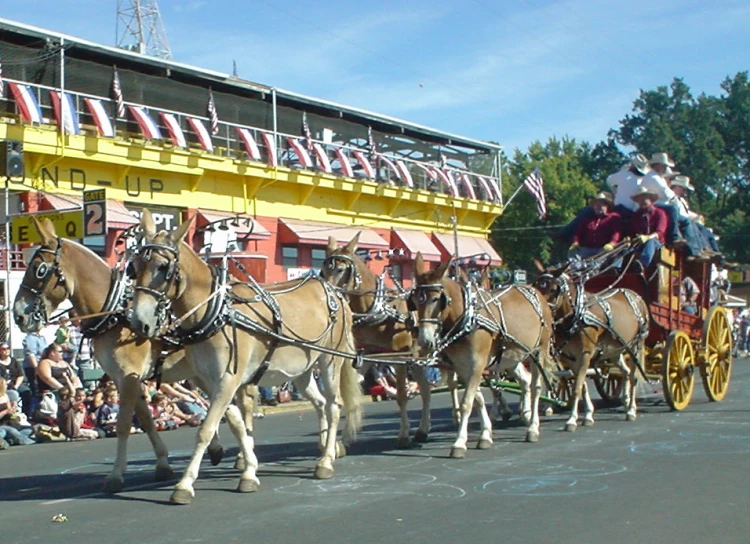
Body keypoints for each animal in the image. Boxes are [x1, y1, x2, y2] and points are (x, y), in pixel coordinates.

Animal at [12, 218, 253, 492]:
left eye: (39, 269)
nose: (18, 315)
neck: (115, 313)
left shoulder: (129, 376)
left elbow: (124, 423)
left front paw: (117, 474)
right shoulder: (124, 378)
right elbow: (146, 419)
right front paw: (162, 463)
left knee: (240, 407)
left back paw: (242, 457)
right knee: (227, 408)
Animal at [129, 209, 364, 506]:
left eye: (162, 267)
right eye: (134, 265)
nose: (139, 321)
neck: (215, 311)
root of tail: (335, 293)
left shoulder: (228, 379)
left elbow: (206, 430)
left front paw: (184, 484)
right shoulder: (210, 382)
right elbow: (238, 425)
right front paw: (249, 470)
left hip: (330, 361)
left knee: (334, 406)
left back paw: (325, 461)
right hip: (302, 370)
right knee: (321, 403)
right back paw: (326, 448)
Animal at [324, 233, 440, 446]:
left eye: (340, 269)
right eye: (322, 268)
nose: (329, 295)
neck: (376, 310)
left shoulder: (399, 357)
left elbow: (401, 395)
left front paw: (403, 434)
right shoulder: (367, 355)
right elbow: (353, 389)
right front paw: (344, 438)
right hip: (417, 358)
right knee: (427, 390)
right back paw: (423, 430)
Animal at [408, 254, 556, 454]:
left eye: (436, 299)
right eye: (415, 301)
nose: (425, 341)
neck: (465, 318)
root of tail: (536, 292)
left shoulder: (477, 364)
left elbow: (466, 403)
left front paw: (459, 443)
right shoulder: (462, 366)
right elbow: (477, 400)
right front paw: (485, 434)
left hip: (539, 350)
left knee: (536, 387)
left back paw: (533, 427)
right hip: (512, 357)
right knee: (524, 380)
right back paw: (525, 415)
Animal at [536, 260, 652, 430]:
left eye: (552, 289)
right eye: (536, 285)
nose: (540, 311)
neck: (576, 316)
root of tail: (635, 295)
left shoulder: (585, 354)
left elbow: (577, 387)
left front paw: (571, 420)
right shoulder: (571, 358)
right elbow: (582, 385)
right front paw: (588, 415)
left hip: (635, 346)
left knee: (632, 376)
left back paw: (631, 410)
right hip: (616, 350)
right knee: (624, 372)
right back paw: (626, 402)